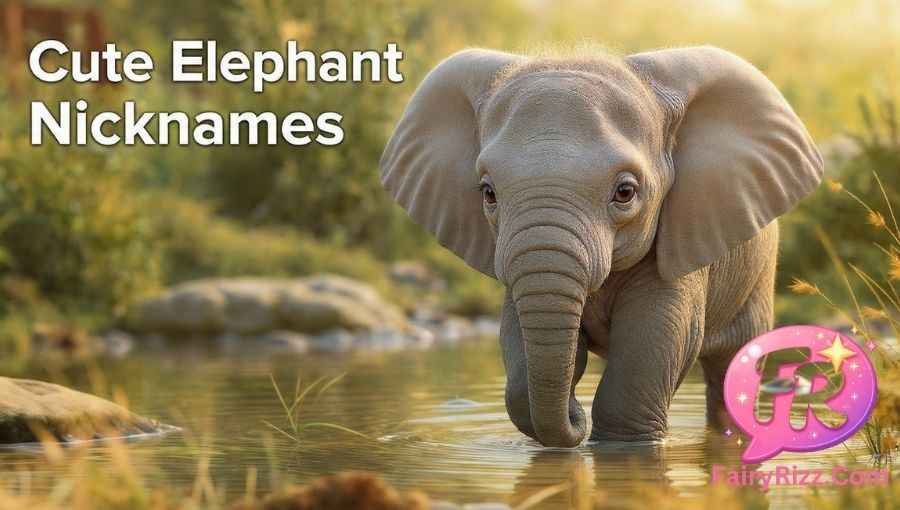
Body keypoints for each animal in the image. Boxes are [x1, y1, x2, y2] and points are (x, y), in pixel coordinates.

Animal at [380, 46, 823, 447]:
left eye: (625, 192)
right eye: (487, 193)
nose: (574, 417)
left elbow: (654, 345)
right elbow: (519, 351)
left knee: (732, 369)